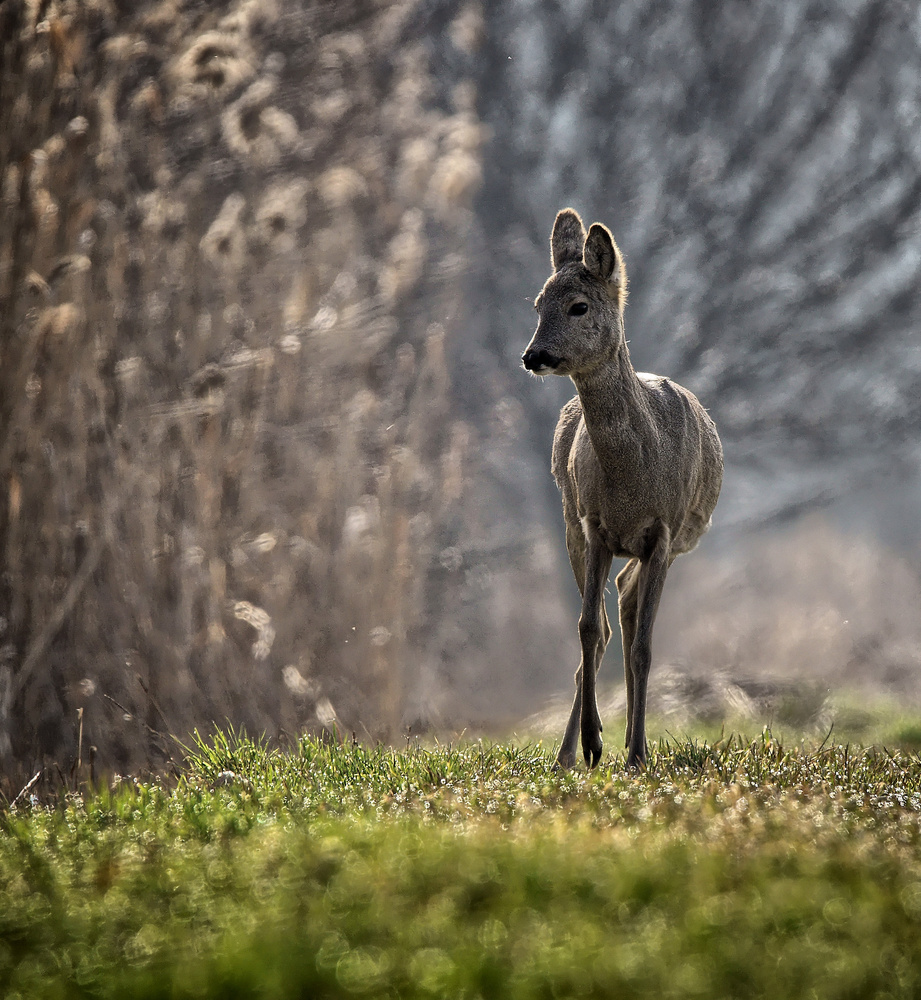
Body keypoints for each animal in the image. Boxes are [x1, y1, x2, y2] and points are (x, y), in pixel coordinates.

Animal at [520, 211, 724, 768]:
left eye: (579, 305)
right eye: (537, 304)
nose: (533, 355)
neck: (633, 479)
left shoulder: (662, 532)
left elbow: (645, 648)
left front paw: (632, 752)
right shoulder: (594, 526)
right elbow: (589, 629)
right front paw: (592, 742)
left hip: (668, 547)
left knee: (631, 615)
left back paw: (637, 745)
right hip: (569, 524)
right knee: (610, 623)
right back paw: (569, 754)